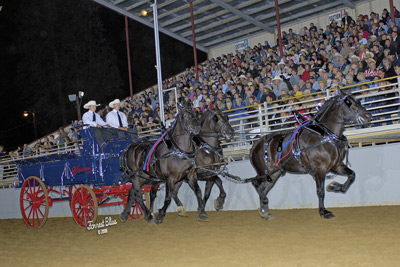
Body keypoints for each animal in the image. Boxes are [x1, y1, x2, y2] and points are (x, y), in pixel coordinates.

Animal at [250, 90, 372, 220]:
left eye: (358, 100)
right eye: (348, 102)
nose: (368, 116)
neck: (325, 136)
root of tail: (255, 144)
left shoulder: (336, 166)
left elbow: (352, 175)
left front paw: (334, 187)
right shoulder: (320, 169)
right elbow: (320, 192)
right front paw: (323, 212)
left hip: (275, 173)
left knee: (264, 188)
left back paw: (264, 211)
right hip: (264, 172)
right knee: (257, 185)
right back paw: (264, 207)